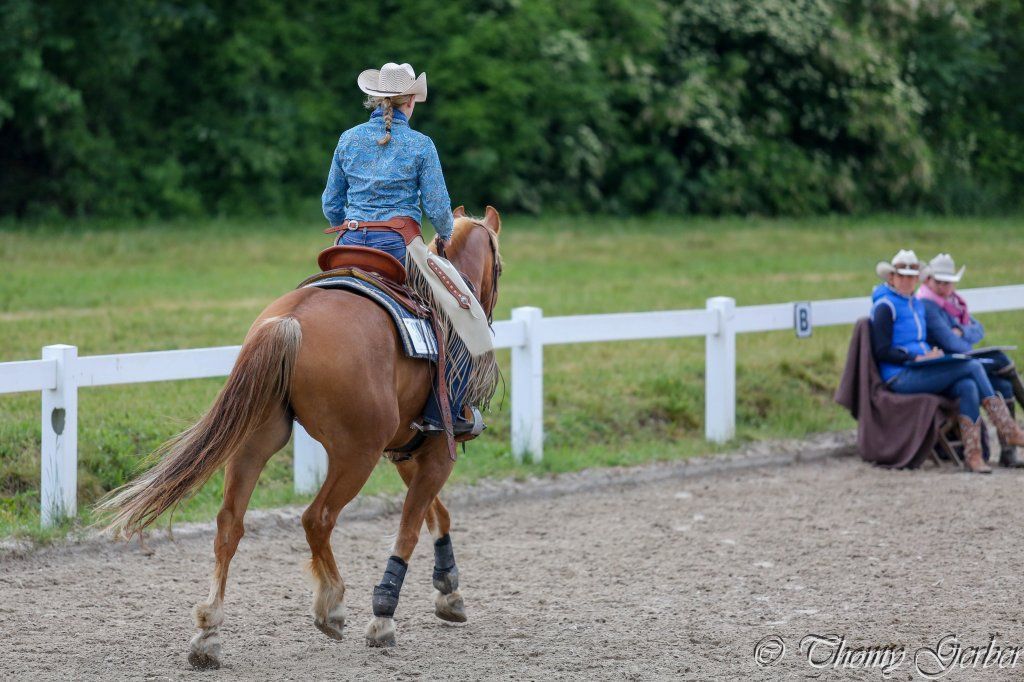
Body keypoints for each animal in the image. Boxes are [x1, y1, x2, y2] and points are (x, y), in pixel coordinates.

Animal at [97, 207, 503, 667]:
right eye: (499, 268)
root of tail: (292, 321)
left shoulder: (405, 452)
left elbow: (437, 514)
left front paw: (449, 590)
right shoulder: (436, 453)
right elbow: (410, 527)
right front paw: (384, 616)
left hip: (255, 442)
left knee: (229, 524)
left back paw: (208, 634)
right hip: (355, 454)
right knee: (317, 518)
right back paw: (333, 605)